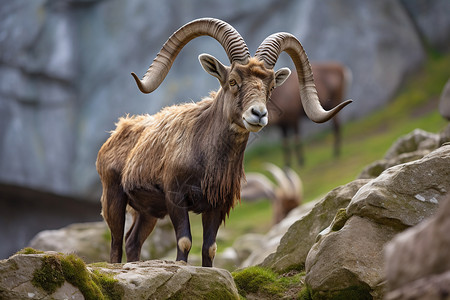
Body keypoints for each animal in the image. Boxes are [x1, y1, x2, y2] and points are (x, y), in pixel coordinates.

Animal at [96, 17, 352, 268]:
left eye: (270, 87)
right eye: (233, 81)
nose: (258, 114)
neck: (204, 156)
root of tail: (117, 131)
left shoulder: (217, 205)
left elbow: (210, 248)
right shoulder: (175, 198)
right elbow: (185, 241)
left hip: (148, 212)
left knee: (132, 242)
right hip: (114, 198)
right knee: (116, 243)